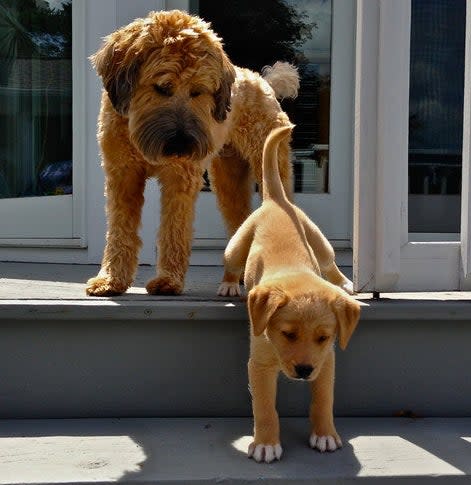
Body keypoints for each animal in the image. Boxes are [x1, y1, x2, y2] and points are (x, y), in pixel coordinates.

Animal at [85, 10, 298, 298]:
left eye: (198, 91)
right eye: (162, 87)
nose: (182, 144)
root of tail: (262, 81)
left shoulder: (179, 179)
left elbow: (174, 229)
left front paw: (168, 281)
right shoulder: (123, 176)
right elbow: (120, 231)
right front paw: (110, 280)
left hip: (270, 169)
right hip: (229, 180)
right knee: (240, 219)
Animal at [218, 125, 362, 462]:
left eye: (324, 337)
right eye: (287, 334)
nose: (304, 370)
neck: (295, 274)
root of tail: (276, 200)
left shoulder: (326, 361)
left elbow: (323, 400)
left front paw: (325, 435)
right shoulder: (258, 364)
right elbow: (265, 409)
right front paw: (266, 444)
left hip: (320, 242)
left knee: (330, 263)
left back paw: (345, 284)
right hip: (236, 246)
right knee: (231, 263)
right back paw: (229, 284)